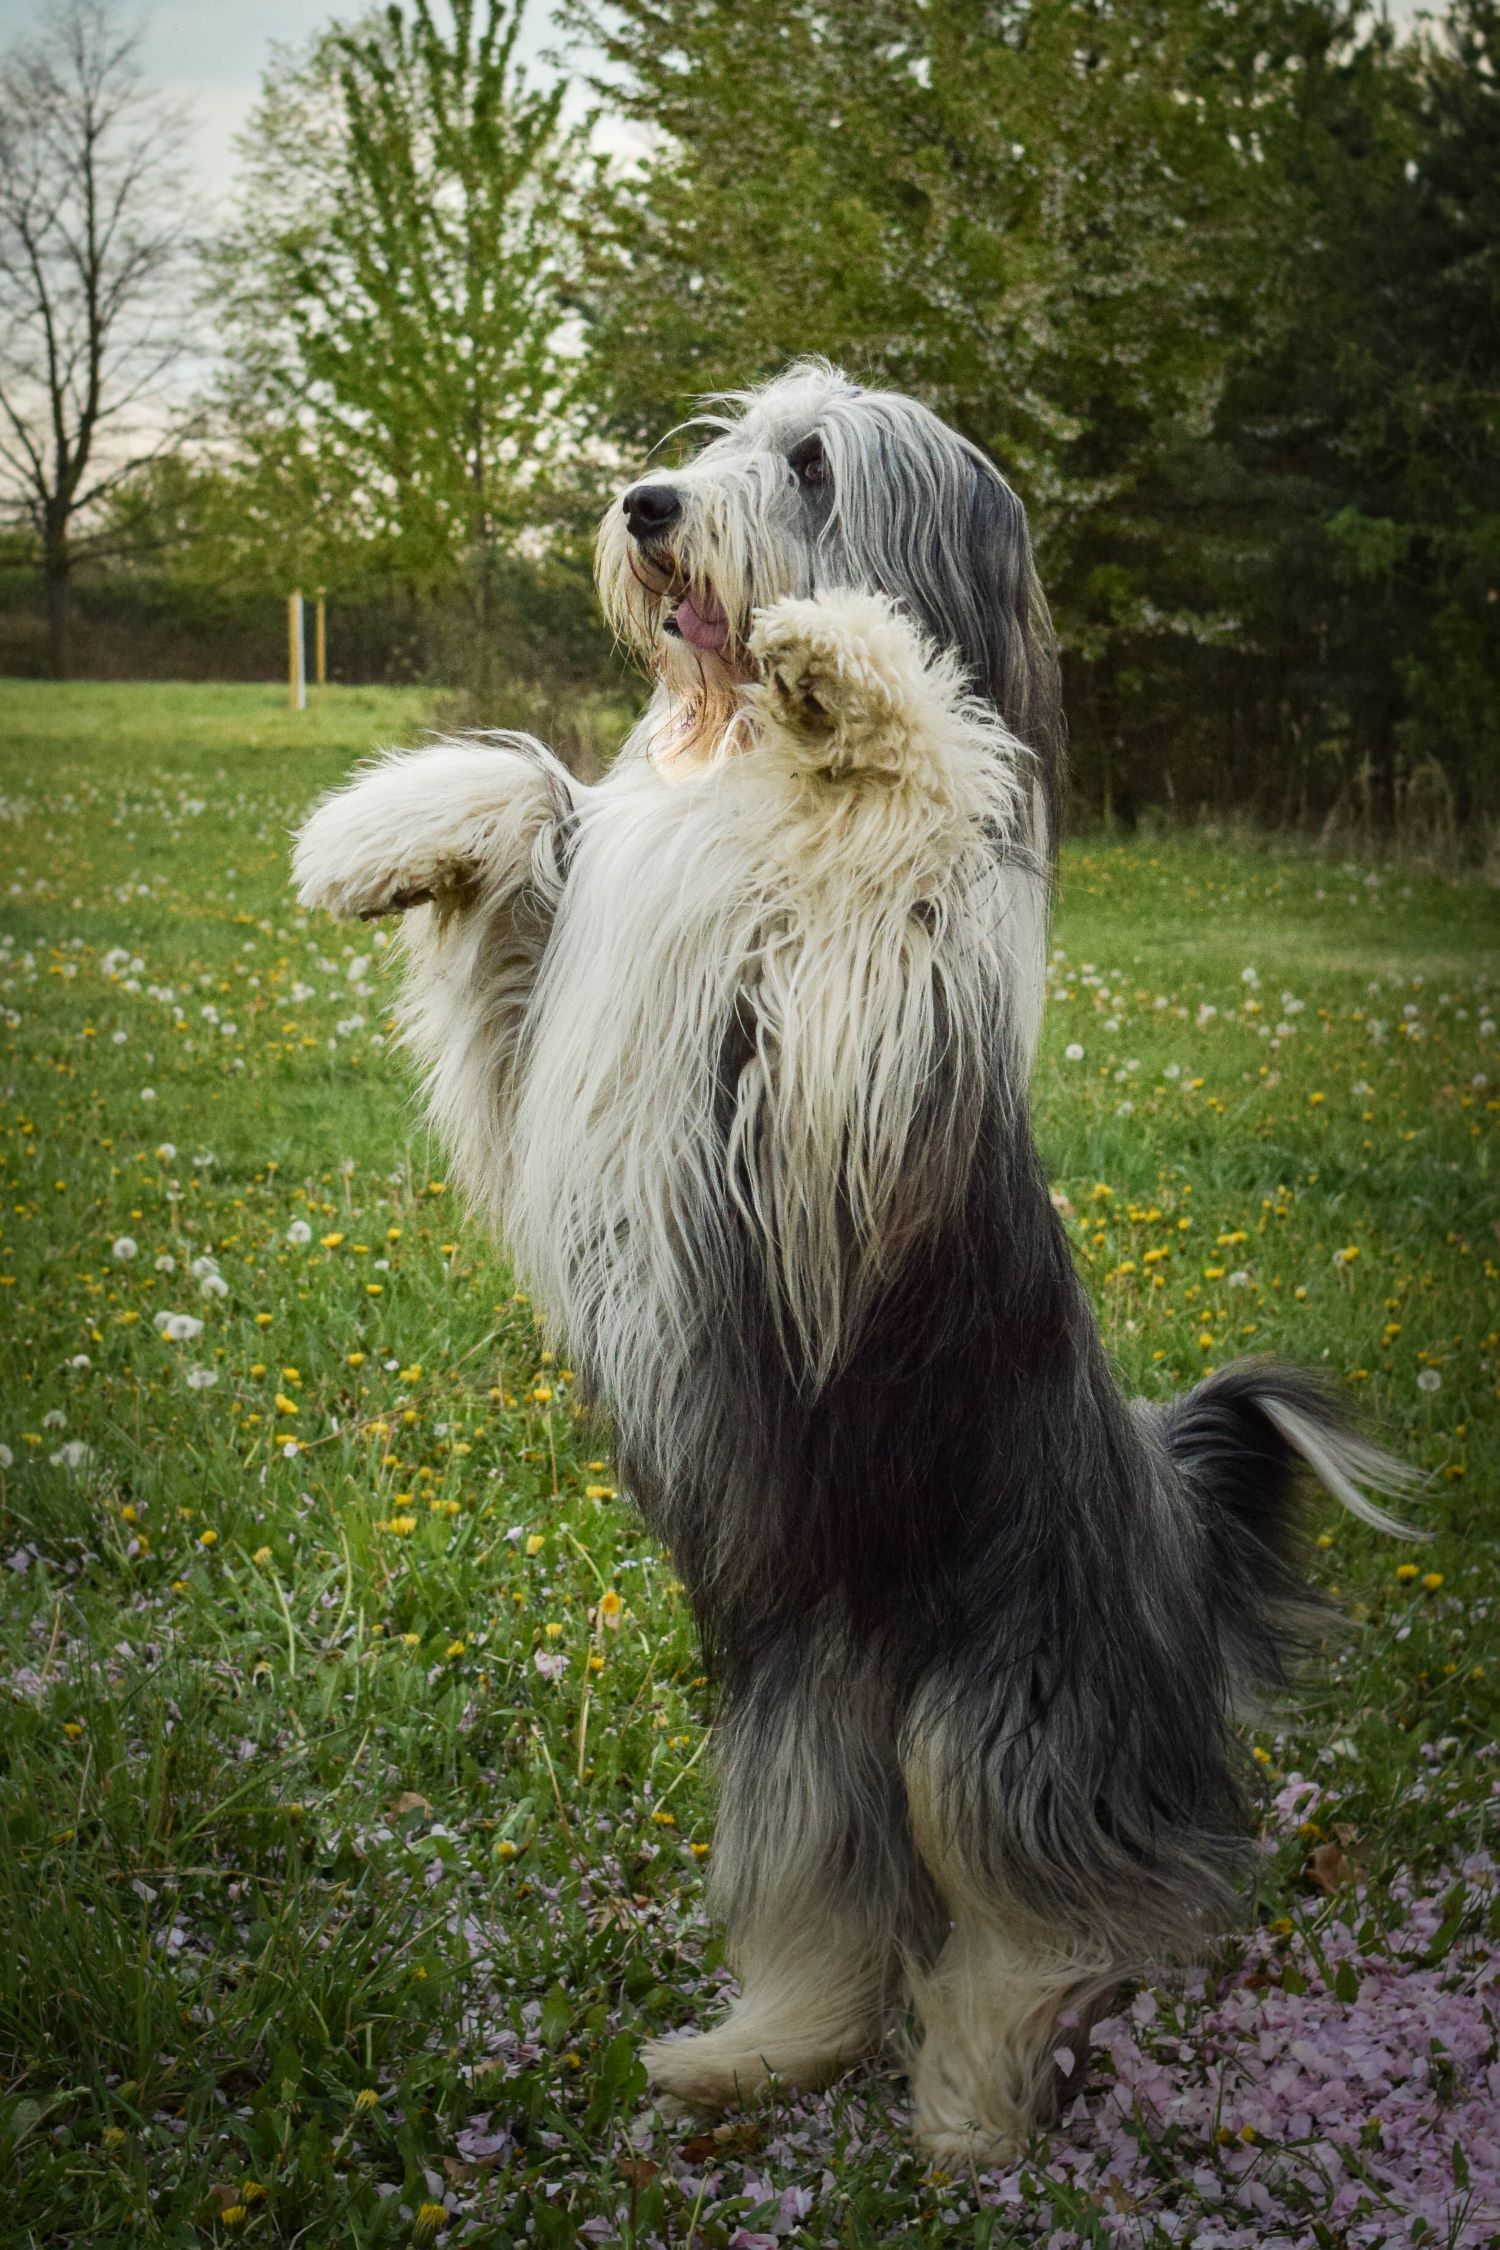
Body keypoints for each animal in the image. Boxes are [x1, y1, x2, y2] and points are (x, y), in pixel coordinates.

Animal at [296, 355, 1421, 2160]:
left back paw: (971, 2107)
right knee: (838, 1906)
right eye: (723, 444)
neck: (745, 769)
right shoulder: (573, 1044)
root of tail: (1165, 1519)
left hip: (1001, 1711)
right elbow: (538, 807)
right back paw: (748, 2056)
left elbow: (906, 807)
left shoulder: (854, 1063)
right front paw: (377, 837)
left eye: (812, 466)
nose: (647, 508)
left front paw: (856, 675)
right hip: (803, 1708)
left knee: (1056, 1918)